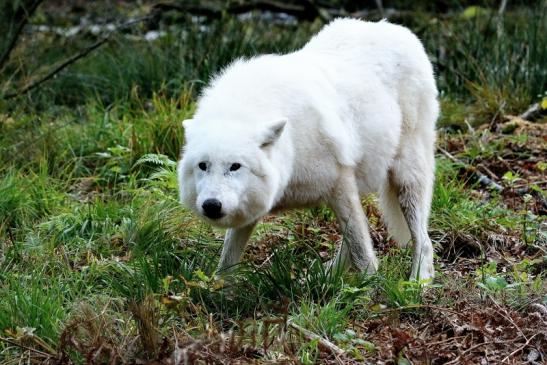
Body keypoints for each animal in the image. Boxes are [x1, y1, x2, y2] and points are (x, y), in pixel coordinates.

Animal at [180, 17, 440, 278]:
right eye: (203, 166)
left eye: (235, 166)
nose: (211, 205)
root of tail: (396, 29)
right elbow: (228, 258)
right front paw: (218, 286)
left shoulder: (340, 183)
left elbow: (362, 251)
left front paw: (371, 285)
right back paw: (327, 276)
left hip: (405, 179)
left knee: (423, 240)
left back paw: (418, 280)